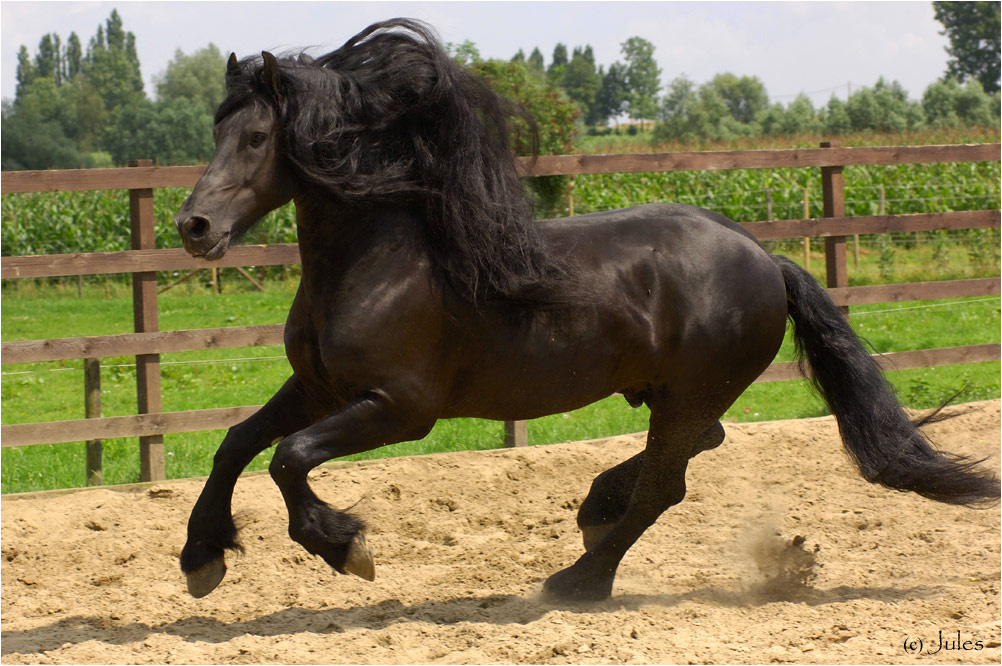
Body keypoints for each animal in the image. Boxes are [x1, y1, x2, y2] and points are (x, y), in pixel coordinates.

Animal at [174, 18, 999, 602]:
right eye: (213, 129)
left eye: (256, 136)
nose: (194, 227)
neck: (380, 263)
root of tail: (765, 258)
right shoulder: (319, 389)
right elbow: (237, 444)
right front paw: (200, 557)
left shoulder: (401, 408)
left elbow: (288, 457)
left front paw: (345, 546)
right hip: (674, 393)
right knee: (700, 447)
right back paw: (598, 505)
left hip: (689, 390)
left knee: (669, 484)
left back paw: (576, 581)